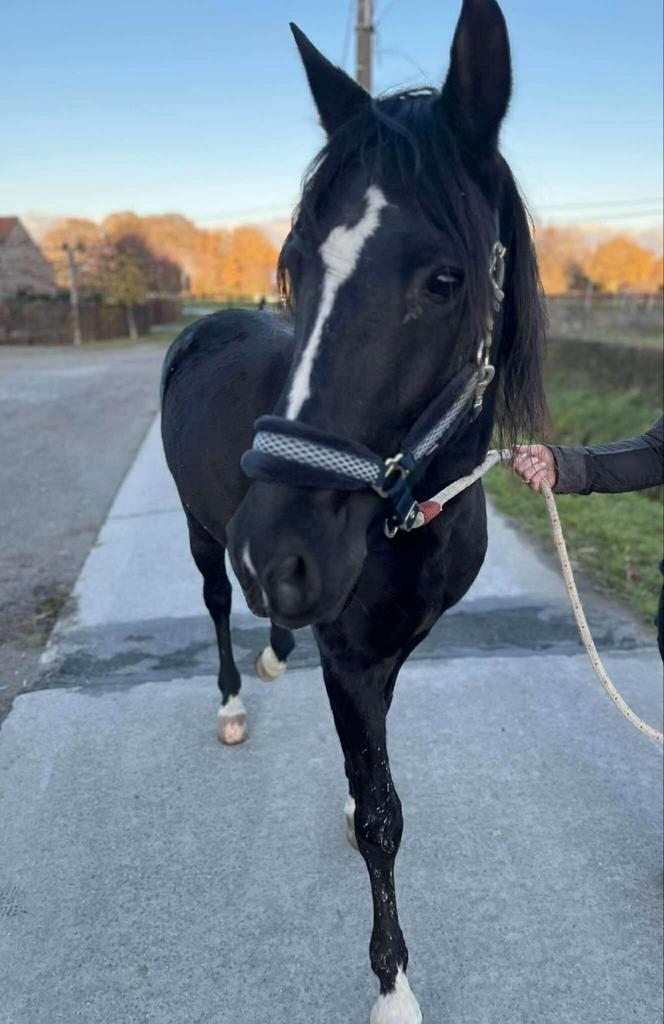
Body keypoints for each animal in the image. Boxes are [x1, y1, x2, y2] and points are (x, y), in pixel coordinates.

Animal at [161, 1, 547, 1020]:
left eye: (445, 280)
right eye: (297, 263)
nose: (277, 554)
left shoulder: (387, 647)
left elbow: (370, 770)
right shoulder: (351, 647)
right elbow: (382, 817)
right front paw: (393, 986)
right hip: (200, 532)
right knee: (214, 605)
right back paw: (231, 695)